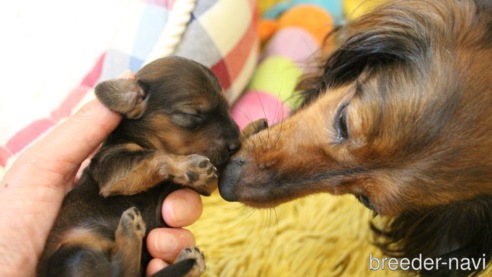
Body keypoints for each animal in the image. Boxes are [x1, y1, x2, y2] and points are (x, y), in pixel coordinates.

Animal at [36, 56, 266, 276]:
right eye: (192, 114)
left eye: (227, 107)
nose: (234, 144)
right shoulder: (113, 168)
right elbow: (156, 156)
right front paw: (190, 166)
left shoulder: (205, 184)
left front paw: (252, 132)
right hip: (75, 254)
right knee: (120, 270)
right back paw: (131, 229)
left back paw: (189, 262)